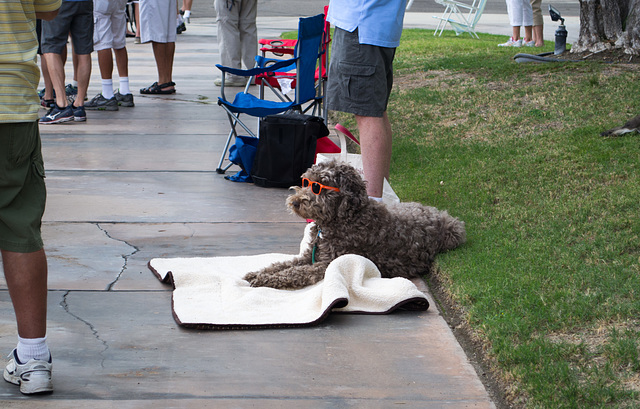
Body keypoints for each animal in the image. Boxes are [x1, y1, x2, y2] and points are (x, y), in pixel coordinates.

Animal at [242, 158, 468, 288]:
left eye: (319, 187)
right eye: (307, 181)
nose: (295, 202)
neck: (346, 218)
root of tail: (447, 218)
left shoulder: (326, 264)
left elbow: (295, 272)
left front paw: (265, 279)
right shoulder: (309, 256)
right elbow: (283, 264)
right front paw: (259, 272)